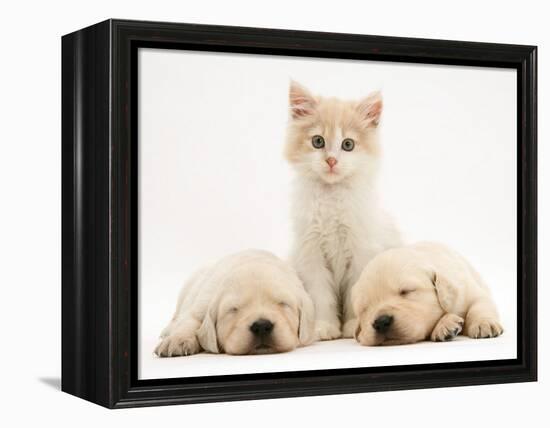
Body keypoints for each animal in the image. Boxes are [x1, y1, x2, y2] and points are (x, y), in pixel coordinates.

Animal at [155, 249, 320, 356]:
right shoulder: (202, 302)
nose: (261, 326)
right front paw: (177, 341)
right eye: (233, 309)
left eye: (283, 304)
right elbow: (189, 321)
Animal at [286, 82, 404, 340]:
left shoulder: (361, 251)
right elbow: (321, 296)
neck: (332, 195)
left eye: (348, 144)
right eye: (318, 141)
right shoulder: (311, 254)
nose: (331, 161)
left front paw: (352, 327)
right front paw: (324, 327)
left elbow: (355, 293)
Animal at [354, 242, 504, 346]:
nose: (381, 322)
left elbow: (479, 304)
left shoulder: (467, 290)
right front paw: (446, 324)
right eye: (364, 309)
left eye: (406, 291)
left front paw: (483, 323)